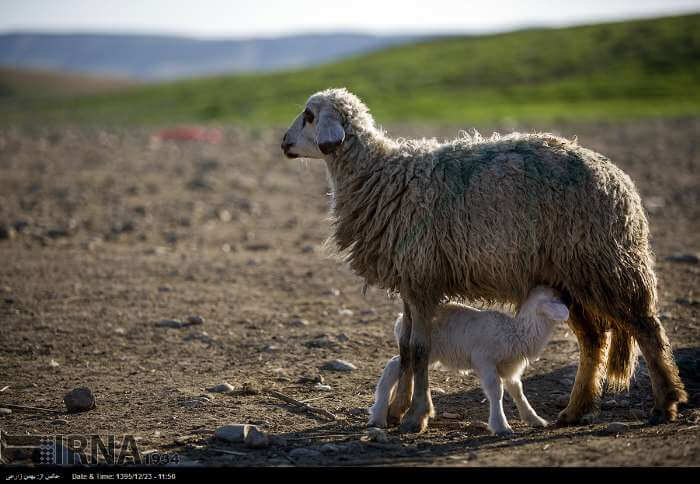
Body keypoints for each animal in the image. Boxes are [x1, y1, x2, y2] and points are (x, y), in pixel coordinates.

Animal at [366, 286, 568, 436]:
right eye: (554, 298)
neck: (516, 331)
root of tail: (400, 320)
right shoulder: (484, 360)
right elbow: (496, 390)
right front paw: (501, 426)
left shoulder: (510, 368)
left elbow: (518, 391)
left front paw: (534, 419)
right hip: (428, 348)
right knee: (393, 365)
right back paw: (378, 416)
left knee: (396, 365)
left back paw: (381, 413)